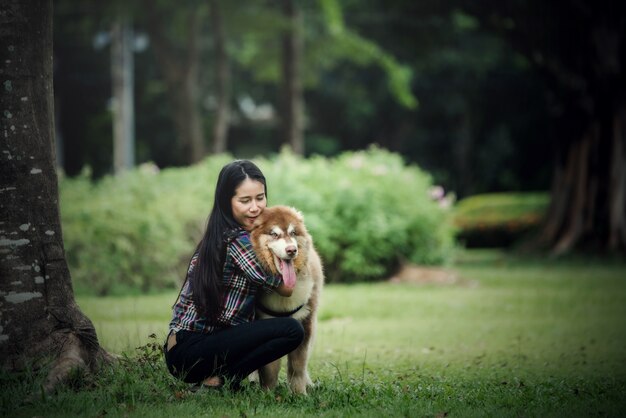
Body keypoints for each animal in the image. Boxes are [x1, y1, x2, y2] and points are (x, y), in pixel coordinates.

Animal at [249, 207, 324, 396]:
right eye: (274, 234)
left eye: (293, 233)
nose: (291, 250)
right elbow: (269, 368)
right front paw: (267, 393)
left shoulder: (305, 322)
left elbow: (298, 365)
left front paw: (299, 393)